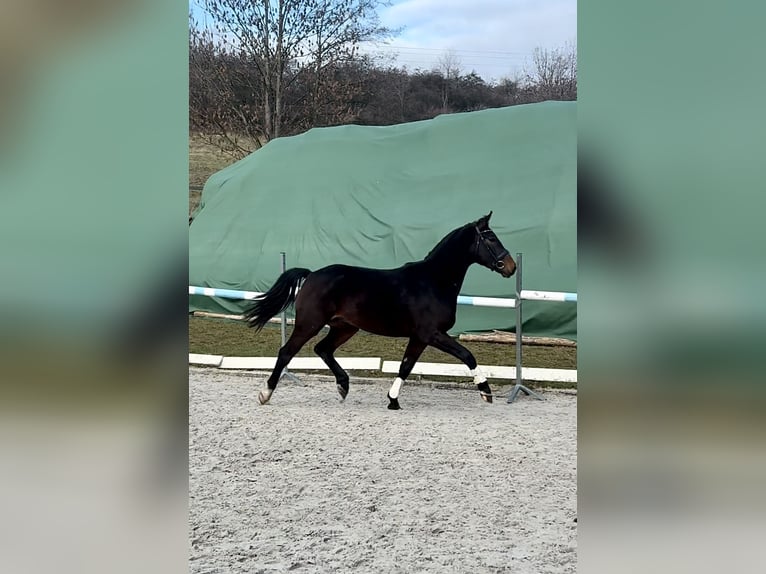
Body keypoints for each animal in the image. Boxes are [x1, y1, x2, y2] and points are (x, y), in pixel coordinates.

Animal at [244, 211, 516, 409]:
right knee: (286, 352)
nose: (510, 266)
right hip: (309, 323)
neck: (434, 281)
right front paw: (485, 391)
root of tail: (311, 275)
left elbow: (406, 366)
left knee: (323, 349)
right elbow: (467, 355)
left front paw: (393, 400)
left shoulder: (419, 337)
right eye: (491, 238)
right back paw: (265, 393)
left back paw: (343, 386)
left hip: (344, 327)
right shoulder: (432, 334)